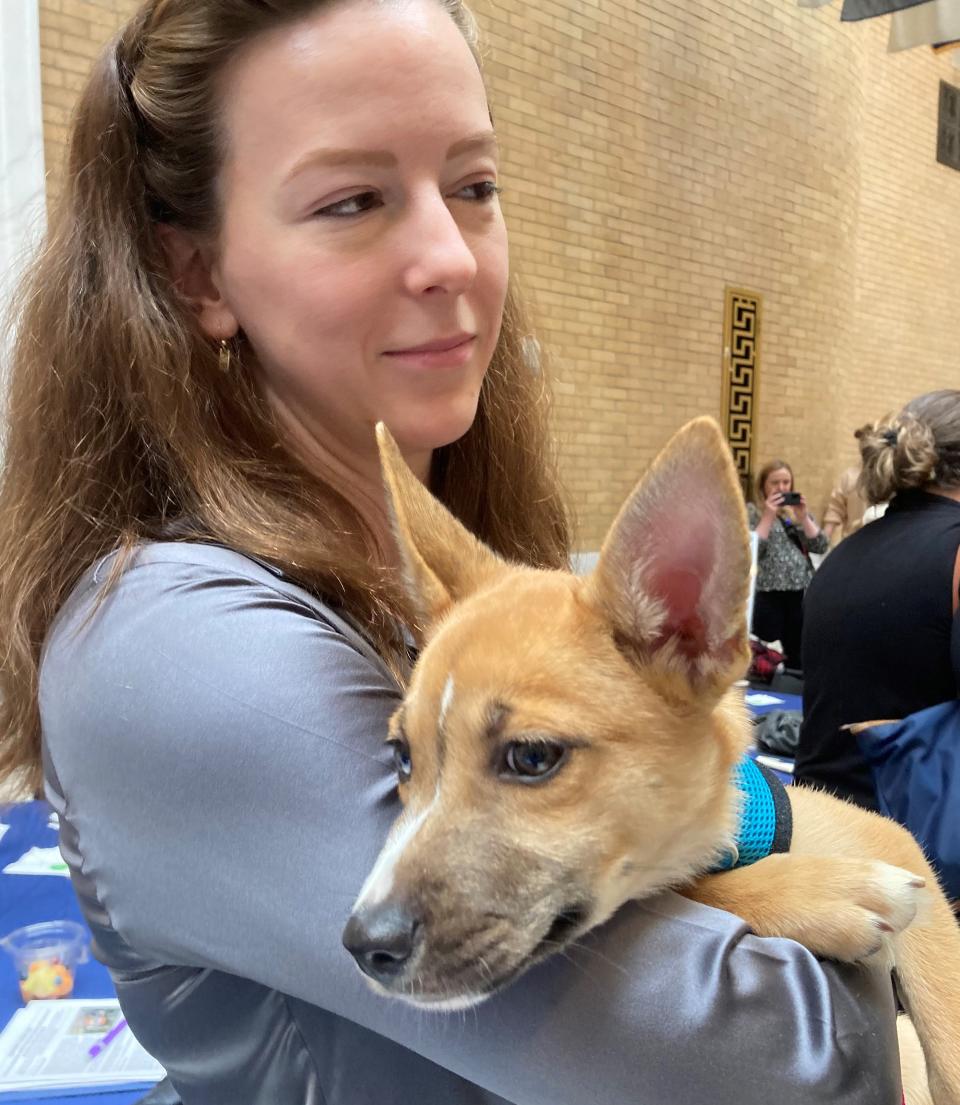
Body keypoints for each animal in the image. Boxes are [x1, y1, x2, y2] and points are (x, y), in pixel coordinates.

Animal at [344, 417, 958, 1100]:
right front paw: (826, 892)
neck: (731, 824)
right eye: (402, 757)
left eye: (532, 757)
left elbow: (946, 1018)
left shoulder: (894, 842)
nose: (364, 946)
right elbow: (701, 887)